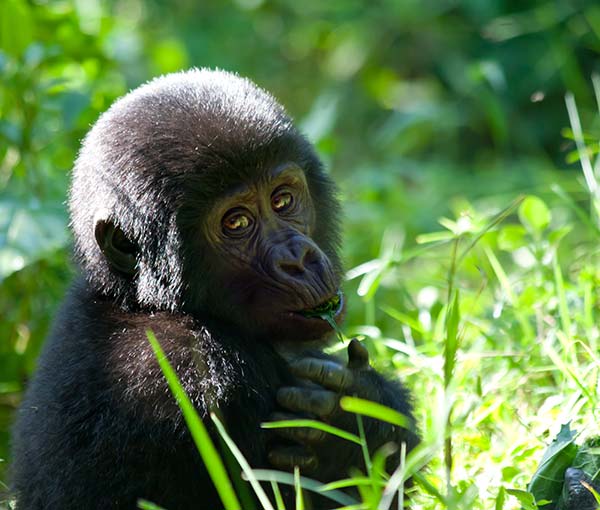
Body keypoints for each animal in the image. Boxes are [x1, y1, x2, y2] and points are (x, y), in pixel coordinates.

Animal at [10, 68, 418, 510]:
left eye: (283, 199)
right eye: (236, 223)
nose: (298, 260)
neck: (143, 302)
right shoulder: (198, 371)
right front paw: (350, 433)